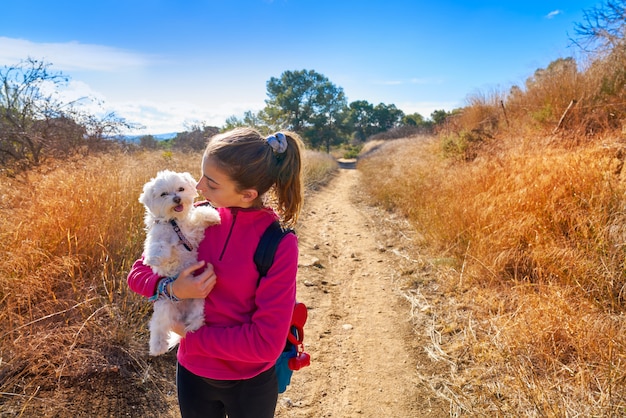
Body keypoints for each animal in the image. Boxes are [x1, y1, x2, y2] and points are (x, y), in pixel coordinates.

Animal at [139, 170, 219, 356]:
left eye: (180, 189)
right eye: (164, 194)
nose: (177, 198)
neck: (174, 222)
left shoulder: (192, 233)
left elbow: (199, 214)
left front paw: (213, 216)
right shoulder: (158, 233)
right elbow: (158, 245)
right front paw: (153, 258)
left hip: (198, 302)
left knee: (196, 316)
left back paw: (192, 325)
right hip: (164, 306)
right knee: (158, 326)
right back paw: (158, 346)